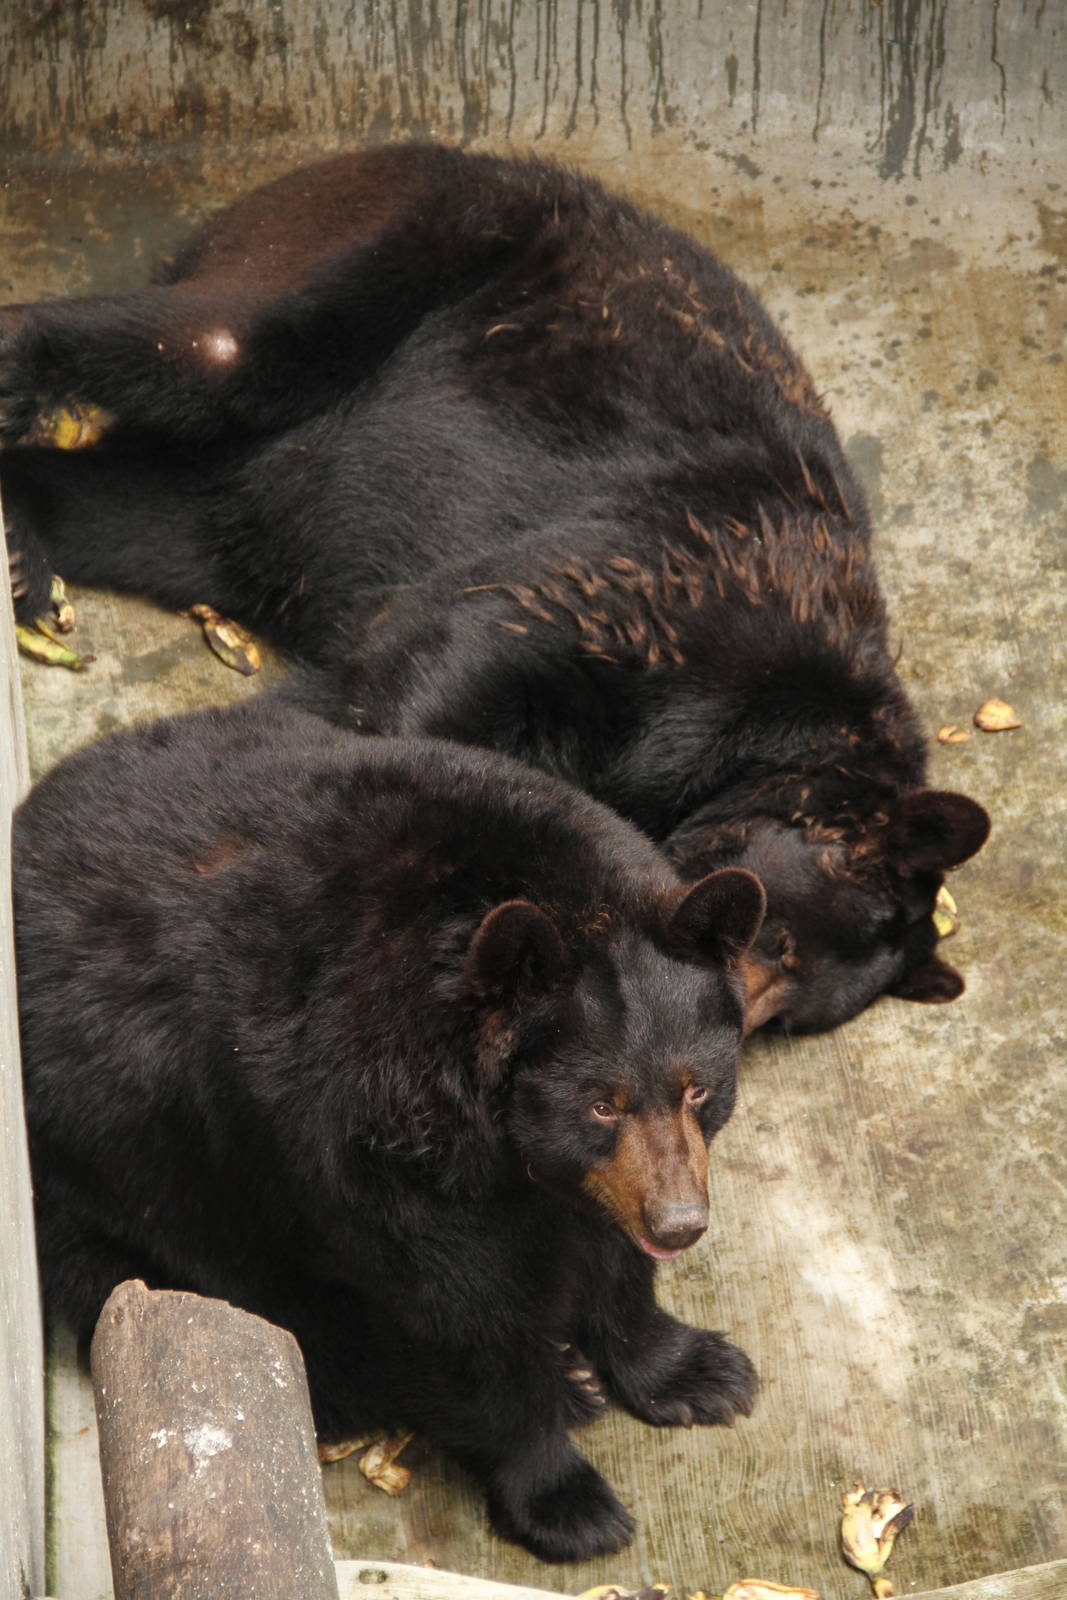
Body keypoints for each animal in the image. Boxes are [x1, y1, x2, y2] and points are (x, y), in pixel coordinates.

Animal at [0, 141, 989, 1034]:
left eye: (790, 1013)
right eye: (772, 935)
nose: (727, 1026)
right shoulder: (669, 586)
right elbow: (450, 660)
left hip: (245, 508)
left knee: (149, 507)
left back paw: (26, 545)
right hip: (397, 248)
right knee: (216, 341)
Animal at [14, 695, 766, 1564]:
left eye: (697, 1088)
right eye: (600, 1103)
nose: (679, 1224)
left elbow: (609, 1252)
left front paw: (698, 1370)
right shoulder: (365, 1135)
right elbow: (456, 1315)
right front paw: (569, 1502)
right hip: (110, 1191)